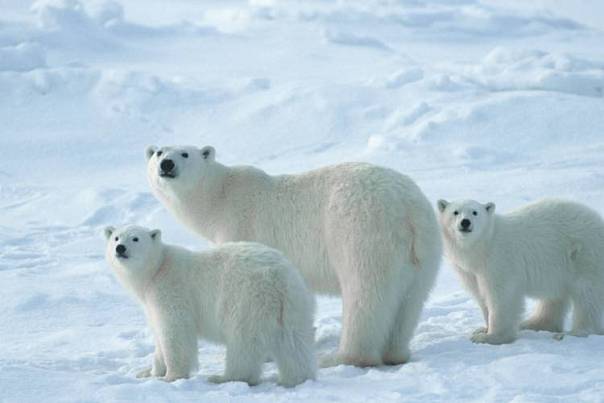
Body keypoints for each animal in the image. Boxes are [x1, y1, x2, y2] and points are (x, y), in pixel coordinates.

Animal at [104, 226, 316, 386]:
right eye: (116, 237)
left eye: (135, 238)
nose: (120, 248)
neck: (156, 270)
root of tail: (277, 277)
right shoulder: (151, 302)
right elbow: (158, 334)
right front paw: (148, 372)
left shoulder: (172, 291)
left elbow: (175, 332)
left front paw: (171, 376)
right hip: (294, 304)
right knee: (294, 342)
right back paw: (296, 379)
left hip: (247, 299)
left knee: (244, 343)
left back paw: (223, 377)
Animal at [144, 146, 442, 370]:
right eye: (158, 152)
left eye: (185, 153)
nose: (167, 164)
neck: (221, 197)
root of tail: (407, 209)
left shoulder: (241, 226)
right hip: (424, 250)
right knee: (410, 299)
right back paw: (395, 353)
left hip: (360, 232)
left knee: (365, 295)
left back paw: (342, 356)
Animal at [436, 199, 604, 344]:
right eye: (455, 212)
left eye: (475, 212)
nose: (465, 222)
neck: (482, 247)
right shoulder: (469, 271)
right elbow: (481, 295)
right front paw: (482, 329)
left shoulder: (499, 259)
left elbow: (501, 295)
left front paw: (490, 337)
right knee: (555, 297)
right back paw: (534, 323)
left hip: (584, 254)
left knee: (587, 295)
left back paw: (572, 333)